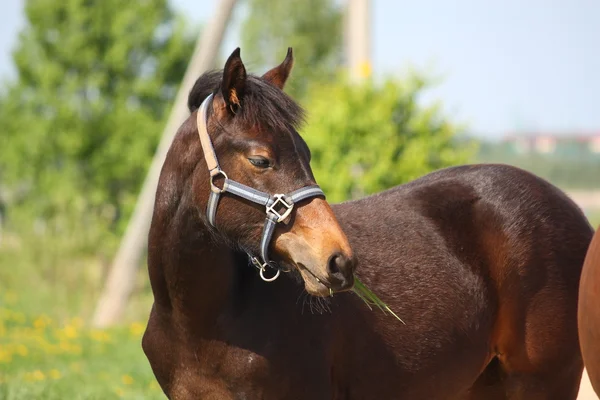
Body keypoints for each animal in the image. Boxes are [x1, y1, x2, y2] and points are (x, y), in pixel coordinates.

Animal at [142, 47, 596, 400]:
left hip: (540, 382)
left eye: (307, 153)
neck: (200, 325)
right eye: (260, 160)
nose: (339, 262)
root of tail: (577, 215)